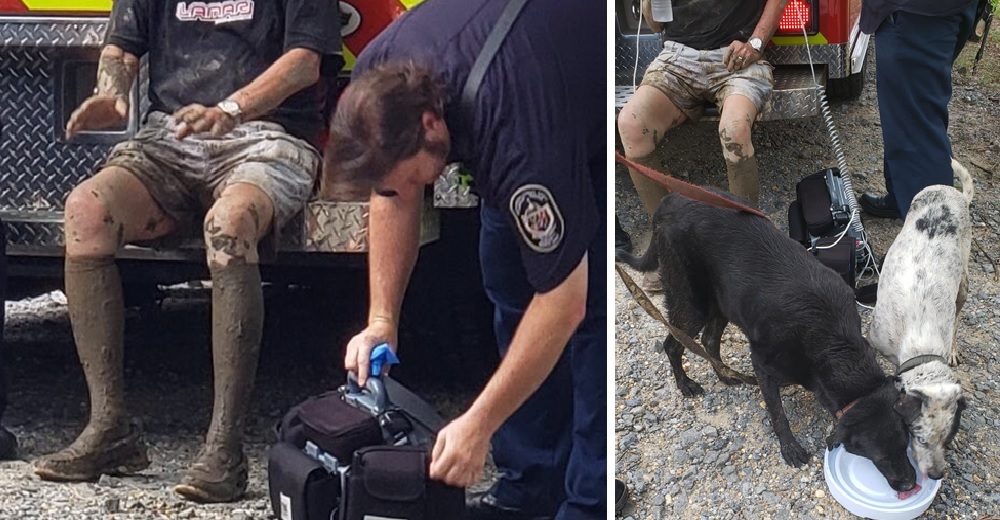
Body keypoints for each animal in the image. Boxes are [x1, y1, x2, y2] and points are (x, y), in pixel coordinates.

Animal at [620, 193, 916, 494]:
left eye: (906, 445)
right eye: (880, 457)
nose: (911, 484)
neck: (833, 343)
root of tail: (672, 199)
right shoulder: (763, 366)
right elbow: (778, 414)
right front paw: (790, 447)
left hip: (723, 302)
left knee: (709, 339)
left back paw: (725, 374)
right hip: (692, 303)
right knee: (673, 344)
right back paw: (685, 384)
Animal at [872, 157, 972, 480]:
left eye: (948, 440)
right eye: (921, 439)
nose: (938, 474)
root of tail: (950, 190)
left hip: (963, 284)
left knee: (958, 318)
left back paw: (953, 350)